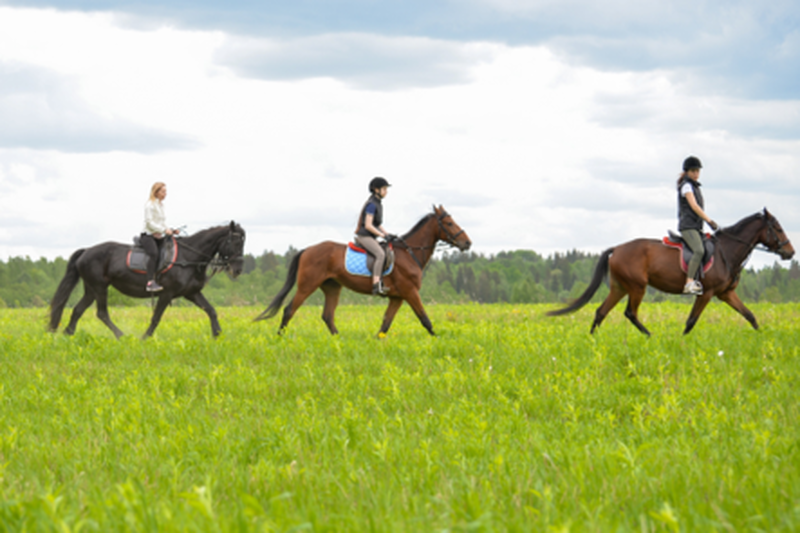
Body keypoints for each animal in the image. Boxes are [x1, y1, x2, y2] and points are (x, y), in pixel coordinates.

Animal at [48, 221, 245, 338]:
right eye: (235, 242)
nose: (237, 270)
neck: (188, 257)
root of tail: (86, 250)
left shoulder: (192, 293)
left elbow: (211, 310)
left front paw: (218, 335)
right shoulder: (167, 293)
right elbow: (156, 317)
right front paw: (145, 338)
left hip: (91, 289)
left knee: (78, 310)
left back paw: (67, 333)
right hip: (99, 287)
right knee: (102, 313)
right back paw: (122, 336)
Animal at [255, 206, 468, 334]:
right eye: (449, 223)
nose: (468, 243)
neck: (410, 253)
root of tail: (307, 249)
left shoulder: (397, 297)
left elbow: (385, 324)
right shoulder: (410, 292)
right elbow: (425, 320)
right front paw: (439, 341)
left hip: (332, 287)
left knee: (327, 316)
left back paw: (339, 341)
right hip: (307, 286)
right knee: (289, 310)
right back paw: (280, 338)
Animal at [548, 210, 792, 334]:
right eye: (778, 228)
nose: (791, 252)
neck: (727, 251)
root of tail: (617, 248)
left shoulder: (726, 293)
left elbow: (750, 315)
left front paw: (762, 339)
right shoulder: (707, 293)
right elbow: (691, 321)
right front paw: (683, 343)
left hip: (619, 288)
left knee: (601, 312)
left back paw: (593, 341)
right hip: (637, 287)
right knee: (630, 313)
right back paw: (649, 336)